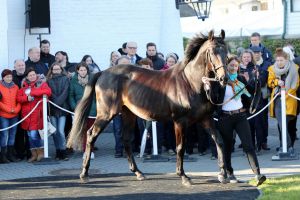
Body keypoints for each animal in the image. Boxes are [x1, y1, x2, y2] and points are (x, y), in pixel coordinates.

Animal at [67, 29, 229, 186]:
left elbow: (219, 141)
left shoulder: (205, 118)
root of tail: (102, 73)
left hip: (128, 114)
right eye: (212, 52)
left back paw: (138, 172)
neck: (190, 82)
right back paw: (84, 174)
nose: (224, 78)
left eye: (226, 51)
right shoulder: (180, 121)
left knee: (126, 139)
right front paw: (183, 176)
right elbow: (180, 147)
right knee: (91, 135)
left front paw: (223, 175)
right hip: (106, 114)